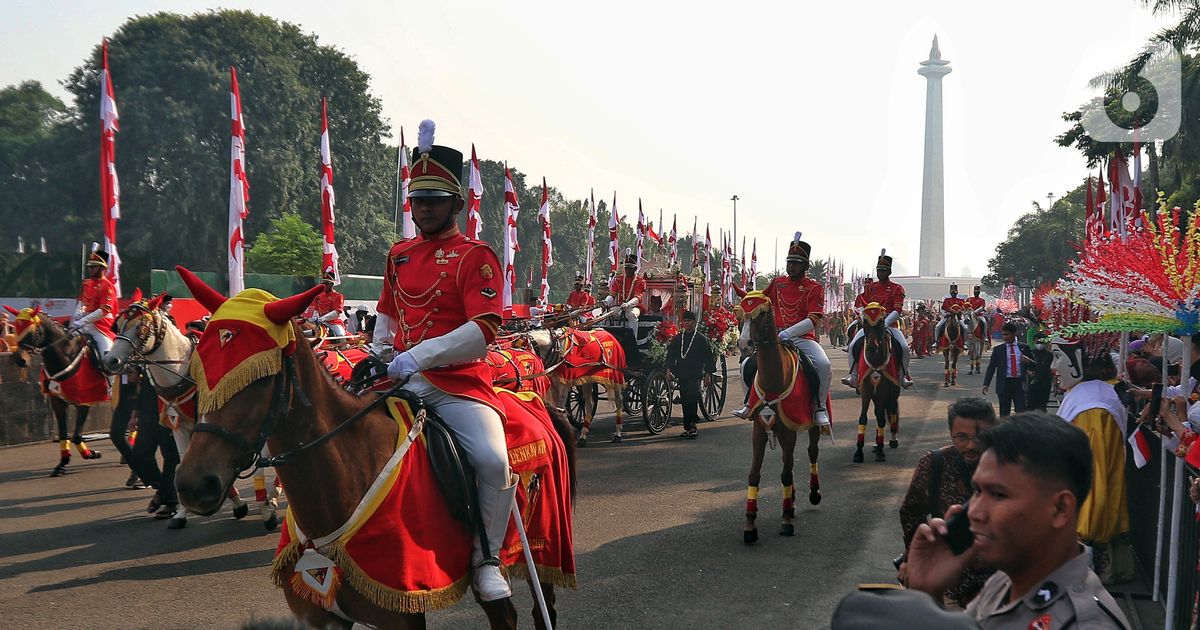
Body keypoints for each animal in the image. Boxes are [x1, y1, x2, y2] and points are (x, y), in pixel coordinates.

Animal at [6, 306, 104, 477]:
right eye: (15, 329)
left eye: (32, 332)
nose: (19, 359)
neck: (68, 355)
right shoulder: (57, 401)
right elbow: (64, 433)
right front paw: (61, 465)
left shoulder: (84, 401)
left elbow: (76, 435)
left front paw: (91, 454)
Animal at [102, 297, 282, 528]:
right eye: (118, 325)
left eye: (140, 327)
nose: (110, 360)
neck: (182, 373)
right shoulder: (181, 426)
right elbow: (181, 462)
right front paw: (183, 512)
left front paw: (266, 509)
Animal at [172, 272, 576, 628]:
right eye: (200, 368)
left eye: (259, 378)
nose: (193, 484)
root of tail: (535, 401)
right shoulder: (319, 617)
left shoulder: (401, 615)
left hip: (541, 546)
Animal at [734, 292, 820, 542]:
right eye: (740, 313)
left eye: (761, 313)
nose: (744, 345)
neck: (774, 379)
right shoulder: (759, 431)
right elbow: (754, 475)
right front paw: (750, 524)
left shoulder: (790, 432)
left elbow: (786, 474)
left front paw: (786, 520)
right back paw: (791, 501)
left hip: (810, 425)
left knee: (811, 452)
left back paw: (812, 493)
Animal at [854, 304, 902, 460]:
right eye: (865, 322)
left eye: (881, 322)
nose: (872, 347)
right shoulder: (867, 390)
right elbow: (863, 418)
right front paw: (858, 451)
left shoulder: (884, 392)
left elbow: (882, 418)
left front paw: (881, 451)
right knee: (879, 413)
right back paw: (876, 443)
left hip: (892, 393)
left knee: (891, 411)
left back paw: (892, 440)